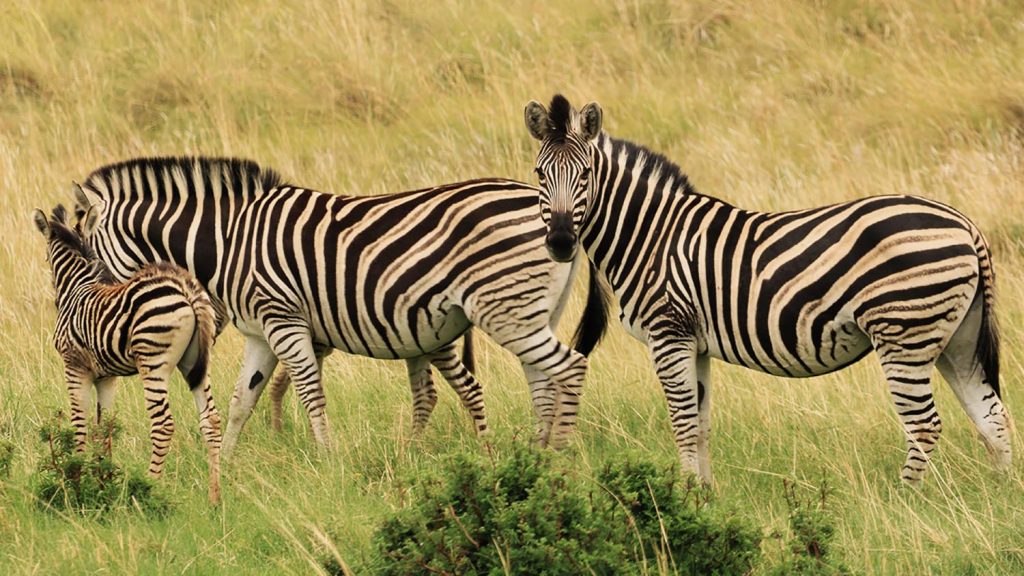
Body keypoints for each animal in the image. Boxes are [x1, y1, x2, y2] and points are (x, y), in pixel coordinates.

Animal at [33, 204, 223, 504]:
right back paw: (214, 498)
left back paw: (149, 487)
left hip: (153, 361)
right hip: (195, 363)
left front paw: (77, 480)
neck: (76, 287)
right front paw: (102, 479)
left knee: (163, 425)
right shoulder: (106, 377)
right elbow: (103, 428)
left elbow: (79, 424)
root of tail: (186, 288)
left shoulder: (74, 366)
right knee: (211, 420)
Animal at [72, 157, 606, 455]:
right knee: (541, 381)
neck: (228, 242)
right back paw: (534, 455)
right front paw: (224, 464)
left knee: (570, 368)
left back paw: (561, 453)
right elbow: (242, 399)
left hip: (507, 311)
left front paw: (327, 460)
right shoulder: (261, 332)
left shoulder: (284, 320)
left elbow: (310, 392)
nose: (92, 328)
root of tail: (559, 214)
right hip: (530, 313)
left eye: (90, 263)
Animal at [523, 94, 1010, 485]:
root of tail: (966, 225)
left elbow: (683, 423)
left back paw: (903, 499)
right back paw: (998, 496)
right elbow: (701, 424)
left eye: (585, 173)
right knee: (993, 417)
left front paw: (682, 495)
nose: (561, 242)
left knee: (925, 425)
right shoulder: (696, 343)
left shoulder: (669, 333)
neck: (651, 235)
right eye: (539, 174)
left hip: (904, 334)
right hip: (956, 340)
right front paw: (704, 497)